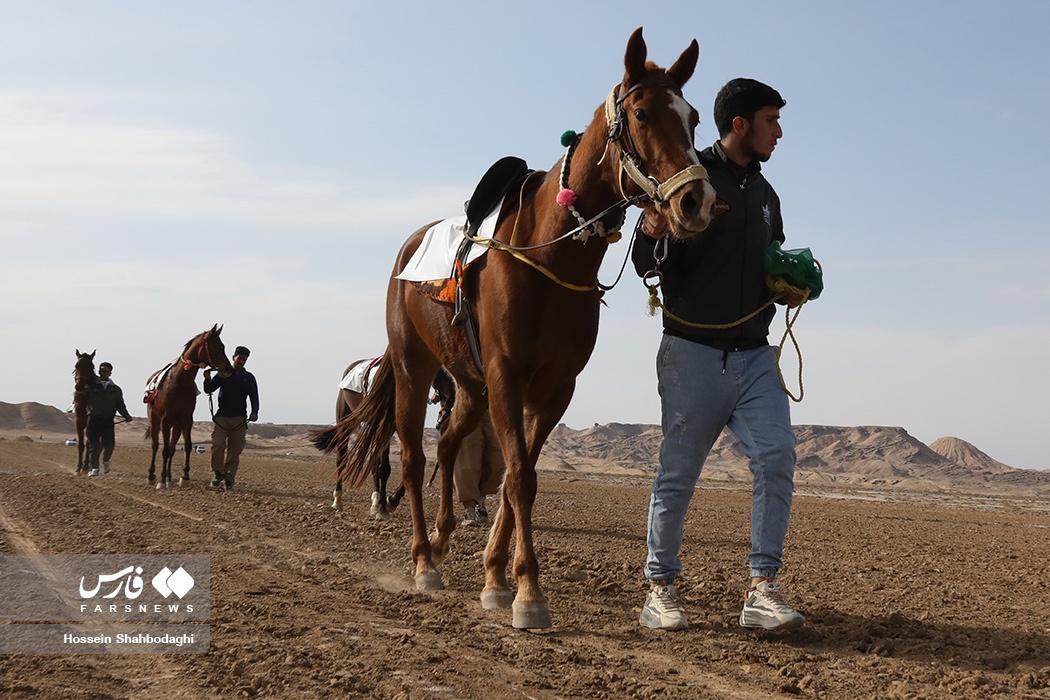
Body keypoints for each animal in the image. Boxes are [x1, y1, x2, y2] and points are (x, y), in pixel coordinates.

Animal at [143, 325, 232, 491]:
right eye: (215, 346)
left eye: (223, 346)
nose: (228, 368)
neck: (179, 383)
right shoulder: (166, 421)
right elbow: (164, 450)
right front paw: (161, 481)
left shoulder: (186, 420)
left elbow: (187, 446)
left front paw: (184, 477)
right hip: (155, 419)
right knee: (155, 445)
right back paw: (152, 476)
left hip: (177, 425)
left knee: (172, 448)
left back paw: (169, 477)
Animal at [315, 27, 718, 629]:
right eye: (643, 112)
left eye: (693, 118)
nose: (698, 201)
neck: (546, 252)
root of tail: (407, 251)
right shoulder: (507, 374)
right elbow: (521, 478)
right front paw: (528, 592)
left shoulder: (554, 387)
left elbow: (512, 476)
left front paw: (497, 577)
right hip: (416, 368)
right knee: (412, 458)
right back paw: (423, 561)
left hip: (468, 385)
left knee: (448, 445)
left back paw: (441, 540)